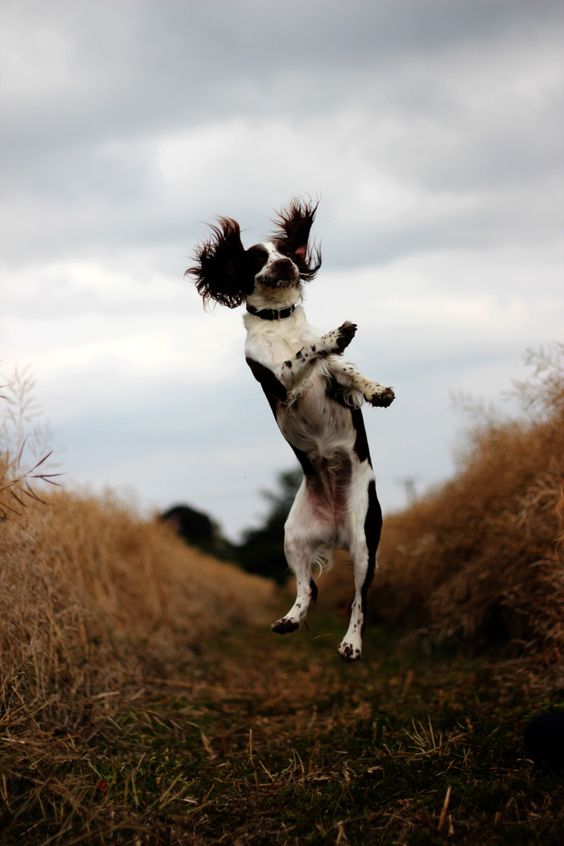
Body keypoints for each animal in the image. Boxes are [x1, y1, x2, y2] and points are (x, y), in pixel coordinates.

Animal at [187, 200, 394, 664]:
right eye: (256, 257)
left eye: (285, 250)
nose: (285, 263)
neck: (279, 321)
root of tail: (335, 529)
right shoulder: (278, 382)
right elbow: (302, 355)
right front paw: (337, 335)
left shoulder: (331, 375)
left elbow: (347, 370)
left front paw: (378, 391)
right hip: (294, 537)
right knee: (309, 587)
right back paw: (291, 620)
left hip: (364, 542)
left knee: (359, 600)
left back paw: (351, 644)